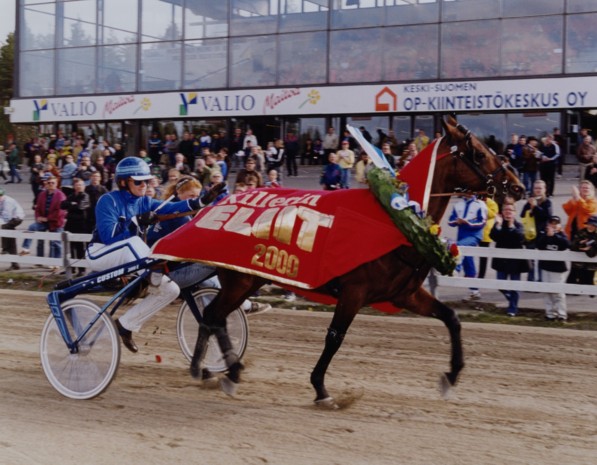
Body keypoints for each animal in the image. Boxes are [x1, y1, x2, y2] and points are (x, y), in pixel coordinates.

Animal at [188, 114, 525, 406]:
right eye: (479, 153)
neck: (396, 219)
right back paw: (227, 371)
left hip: (247, 279)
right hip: (241, 279)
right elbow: (335, 338)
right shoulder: (354, 291)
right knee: (214, 316)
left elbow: (451, 318)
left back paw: (206, 369)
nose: (518, 186)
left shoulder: (405, 294)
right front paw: (321, 389)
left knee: (212, 317)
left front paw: (451, 376)